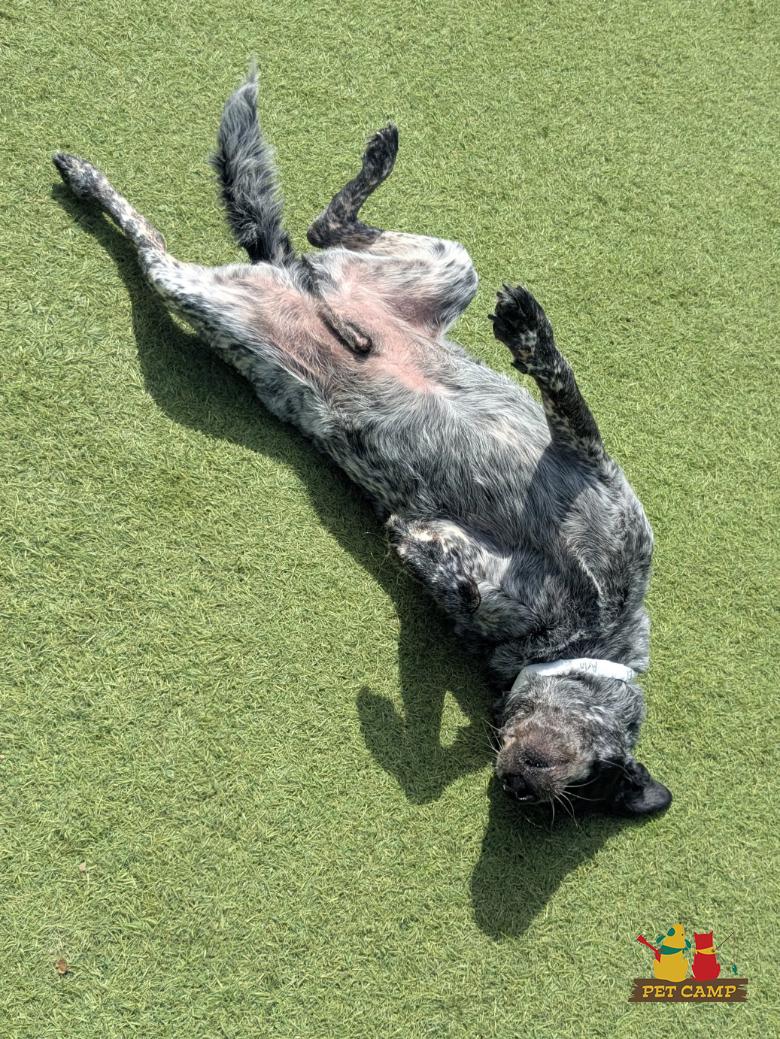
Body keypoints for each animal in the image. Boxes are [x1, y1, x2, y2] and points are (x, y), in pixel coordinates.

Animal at [53, 68, 671, 818]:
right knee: (238, 230)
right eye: (598, 771)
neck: (588, 626)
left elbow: (443, 565)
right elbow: (565, 389)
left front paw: (420, 549)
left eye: (583, 792)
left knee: (260, 234)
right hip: (446, 268)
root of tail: (295, 277)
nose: (517, 783)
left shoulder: (478, 584)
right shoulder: (592, 465)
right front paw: (531, 334)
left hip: (233, 297)